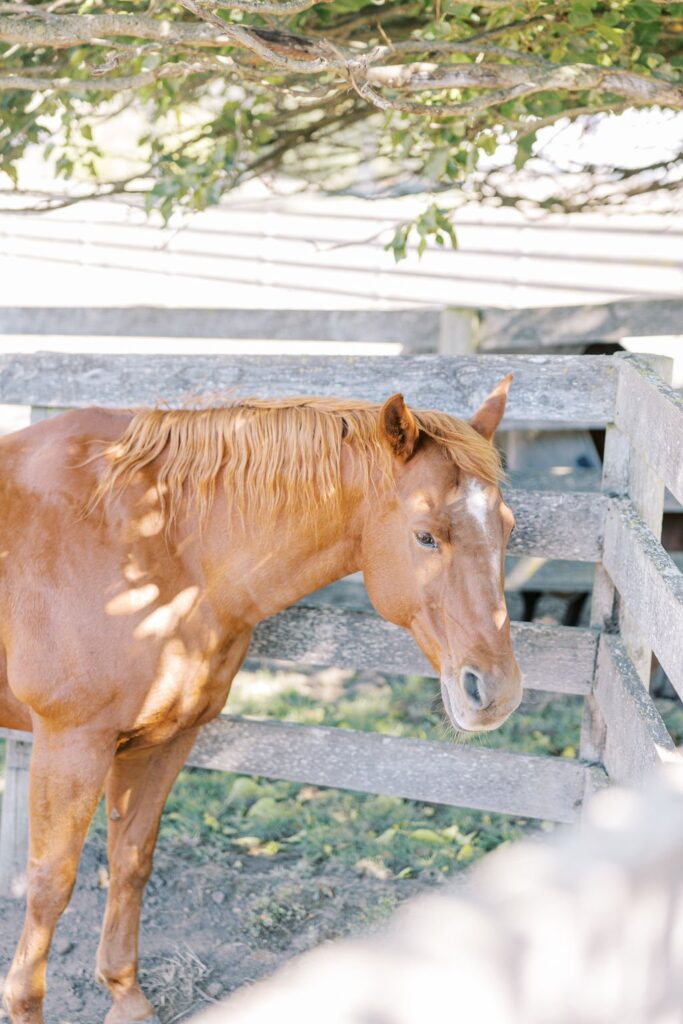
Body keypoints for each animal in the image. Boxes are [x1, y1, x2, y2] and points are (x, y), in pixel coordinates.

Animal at [0, 377, 521, 1024]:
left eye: (508, 529)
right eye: (426, 535)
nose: (496, 692)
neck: (150, 545)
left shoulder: (164, 739)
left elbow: (131, 860)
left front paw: (126, 995)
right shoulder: (72, 743)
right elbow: (51, 883)